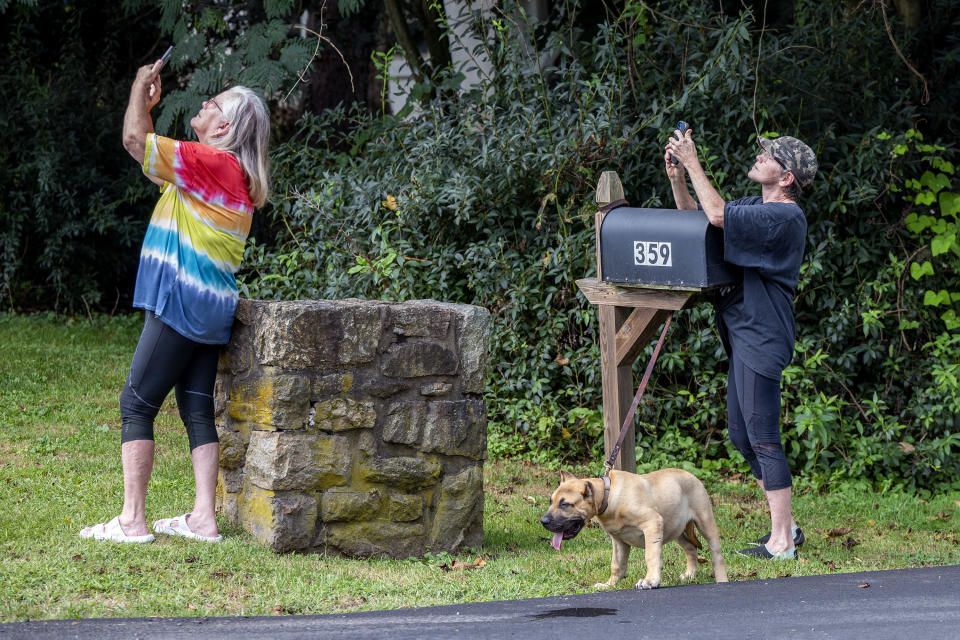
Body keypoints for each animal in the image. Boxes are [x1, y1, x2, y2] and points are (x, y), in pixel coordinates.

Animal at [540, 468, 728, 588]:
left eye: (565, 504)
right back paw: (690, 574)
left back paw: (721, 579)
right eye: (551, 501)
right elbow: (616, 564)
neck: (609, 496)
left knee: (717, 554)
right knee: (690, 548)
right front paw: (610, 585)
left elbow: (650, 556)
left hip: (705, 522)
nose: (543, 521)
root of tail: (692, 476)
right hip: (675, 529)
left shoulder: (652, 523)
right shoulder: (618, 541)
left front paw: (651, 580)